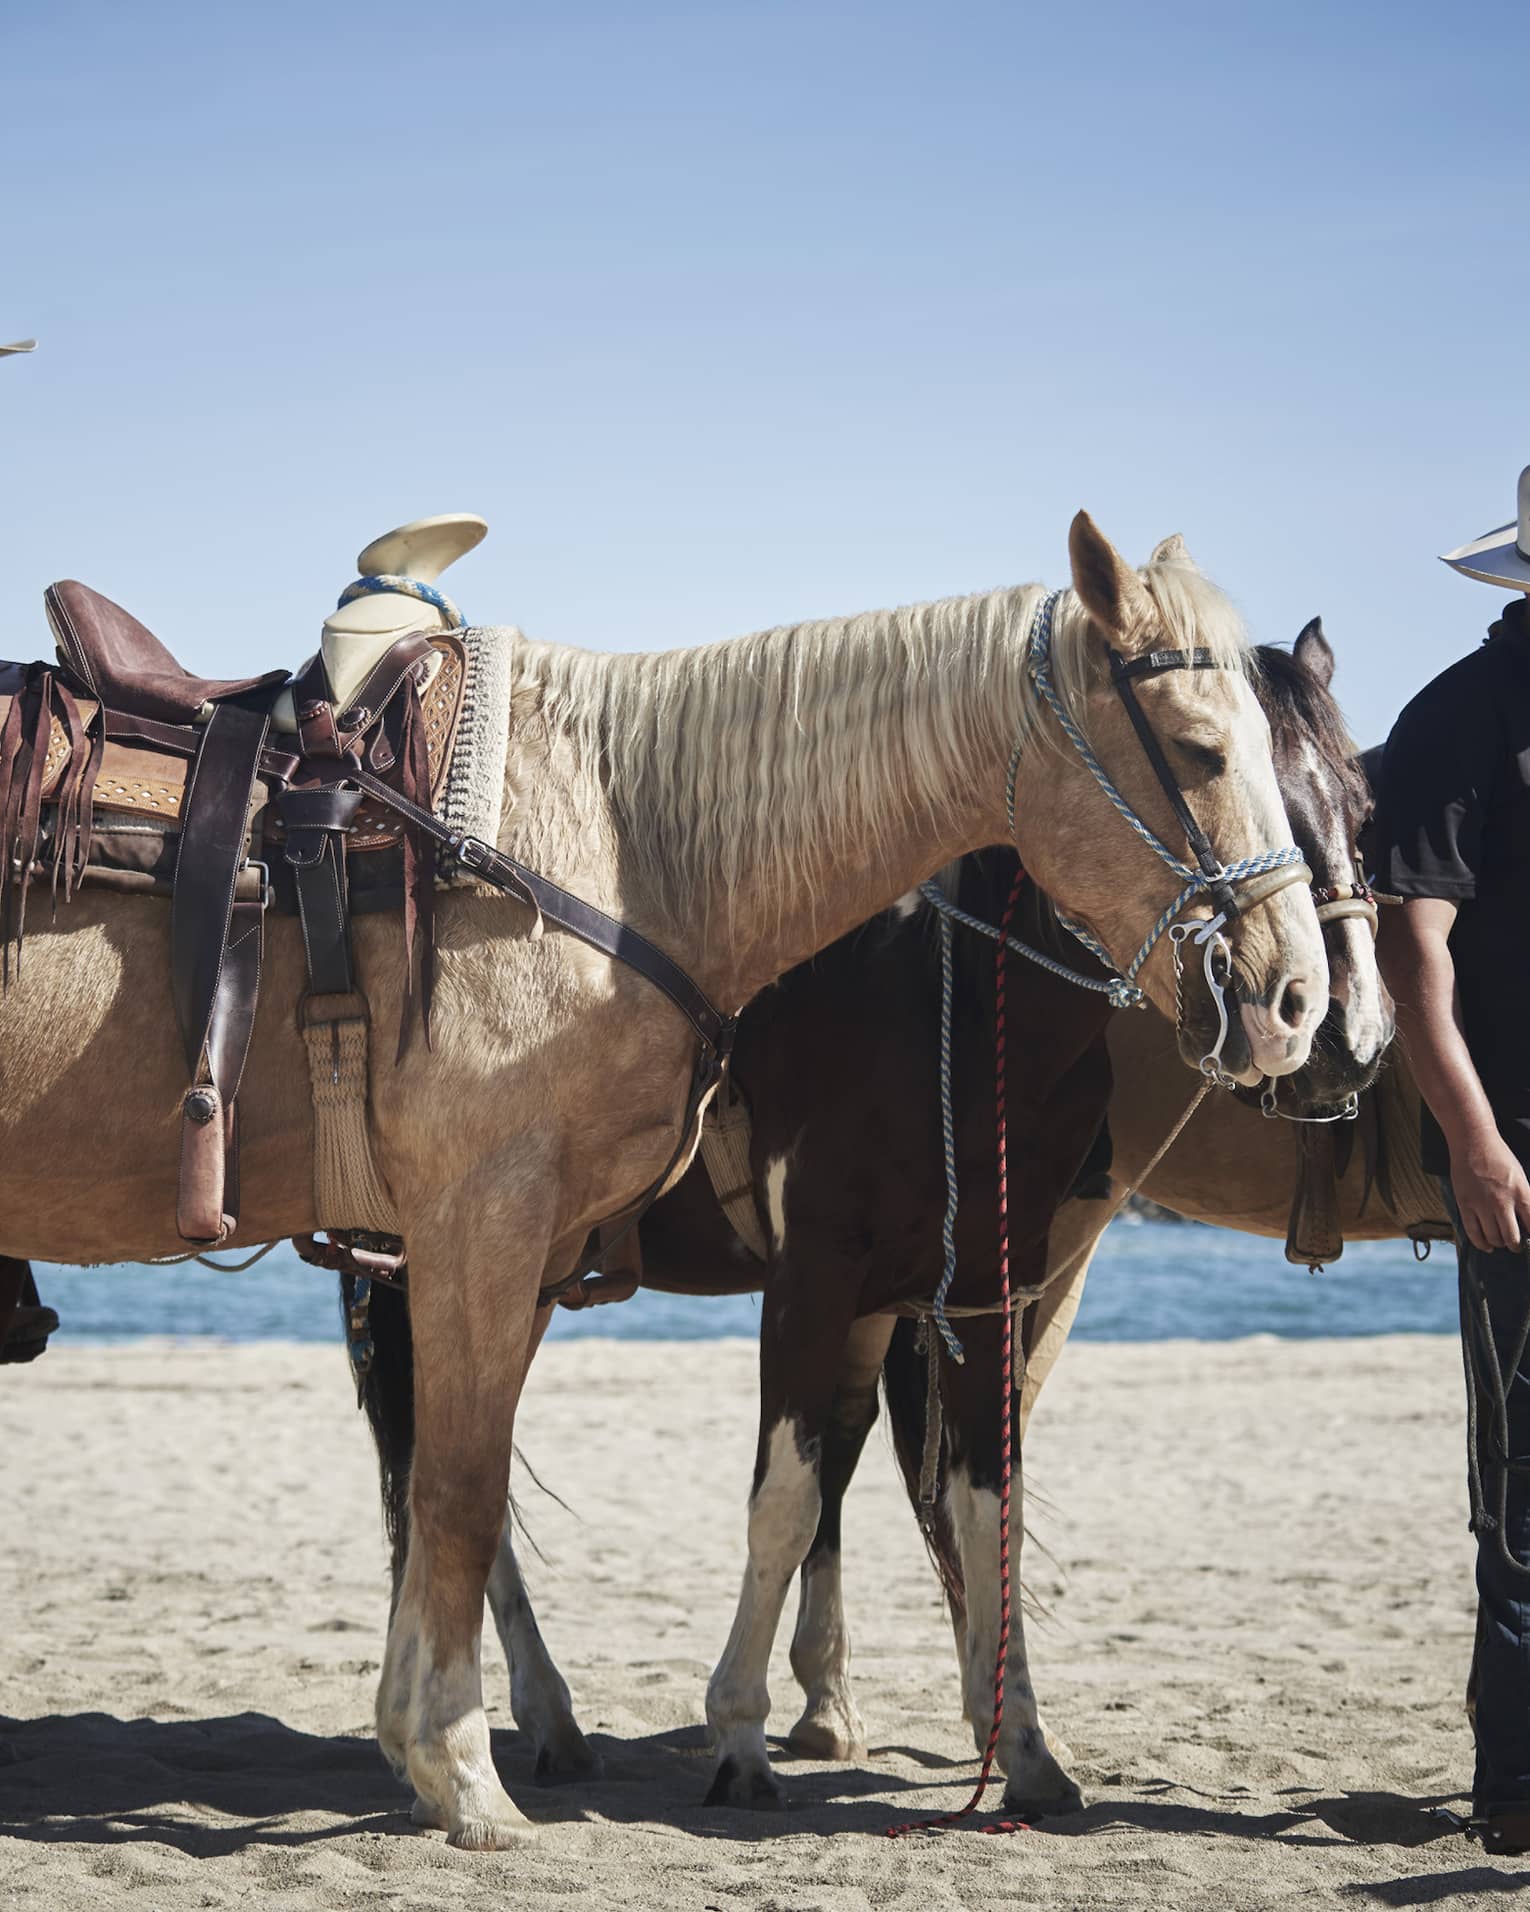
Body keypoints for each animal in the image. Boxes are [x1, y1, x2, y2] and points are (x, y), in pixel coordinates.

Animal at [348, 612, 1377, 1820]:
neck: (936, 998)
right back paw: (521, 1719)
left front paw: (1011, 1740)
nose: (1339, 1031)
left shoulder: (972, 1289)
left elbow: (971, 1500)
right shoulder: (816, 1280)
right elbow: (791, 1497)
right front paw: (744, 1733)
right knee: (438, 1472)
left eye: (1361, 807)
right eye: (1222, 778)